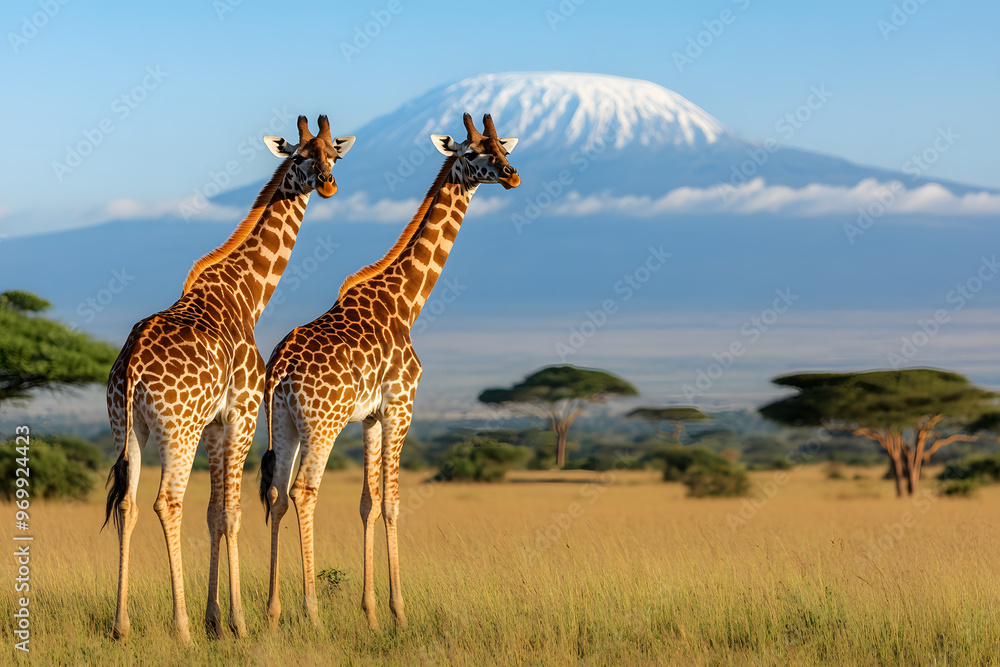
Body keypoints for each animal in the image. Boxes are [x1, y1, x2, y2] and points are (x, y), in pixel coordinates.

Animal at [103, 115, 355, 643]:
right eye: (300, 156)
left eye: (333, 155)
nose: (327, 183)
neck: (247, 294)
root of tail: (131, 364)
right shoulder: (241, 414)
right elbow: (233, 514)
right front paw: (237, 621)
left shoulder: (216, 424)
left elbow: (215, 513)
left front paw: (215, 618)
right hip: (177, 429)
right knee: (166, 502)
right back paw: (179, 627)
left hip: (127, 427)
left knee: (128, 504)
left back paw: (121, 625)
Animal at [258, 113, 519, 630]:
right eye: (472, 152)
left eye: (502, 145)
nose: (512, 174)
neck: (407, 301)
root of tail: (278, 368)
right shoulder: (401, 405)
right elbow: (394, 503)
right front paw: (399, 612)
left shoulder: (372, 417)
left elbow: (368, 502)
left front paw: (372, 612)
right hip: (322, 424)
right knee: (304, 491)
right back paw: (311, 613)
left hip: (284, 423)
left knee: (276, 492)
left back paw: (275, 611)